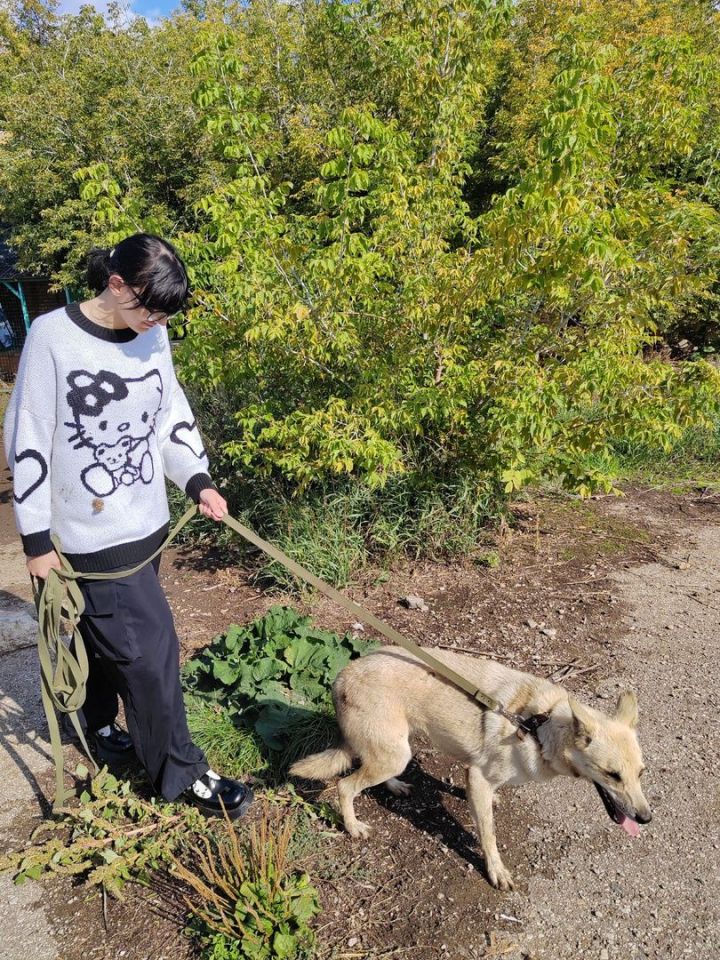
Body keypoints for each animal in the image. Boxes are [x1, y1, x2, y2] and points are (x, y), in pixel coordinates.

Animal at [288, 648, 652, 888]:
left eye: (641, 773)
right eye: (612, 775)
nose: (646, 818)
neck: (542, 724)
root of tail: (341, 678)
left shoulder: (478, 775)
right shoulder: (477, 777)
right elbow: (488, 834)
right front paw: (496, 871)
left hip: (395, 751)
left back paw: (395, 786)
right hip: (393, 754)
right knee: (345, 786)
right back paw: (353, 826)